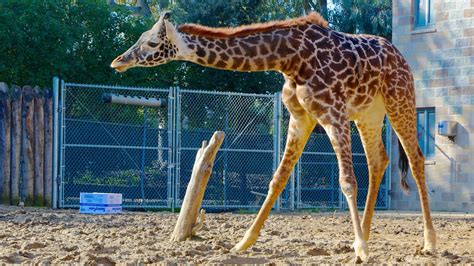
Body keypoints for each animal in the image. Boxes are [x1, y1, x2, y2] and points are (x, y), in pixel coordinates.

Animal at [111, 10, 436, 262]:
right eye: (140, 36)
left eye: (152, 42)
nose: (119, 61)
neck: (290, 59)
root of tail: (401, 56)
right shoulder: (300, 117)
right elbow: (277, 179)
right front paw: (243, 242)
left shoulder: (333, 113)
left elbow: (346, 180)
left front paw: (362, 251)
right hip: (369, 114)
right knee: (378, 160)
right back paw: (365, 235)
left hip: (400, 100)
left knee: (415, 158)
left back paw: (427, 242)